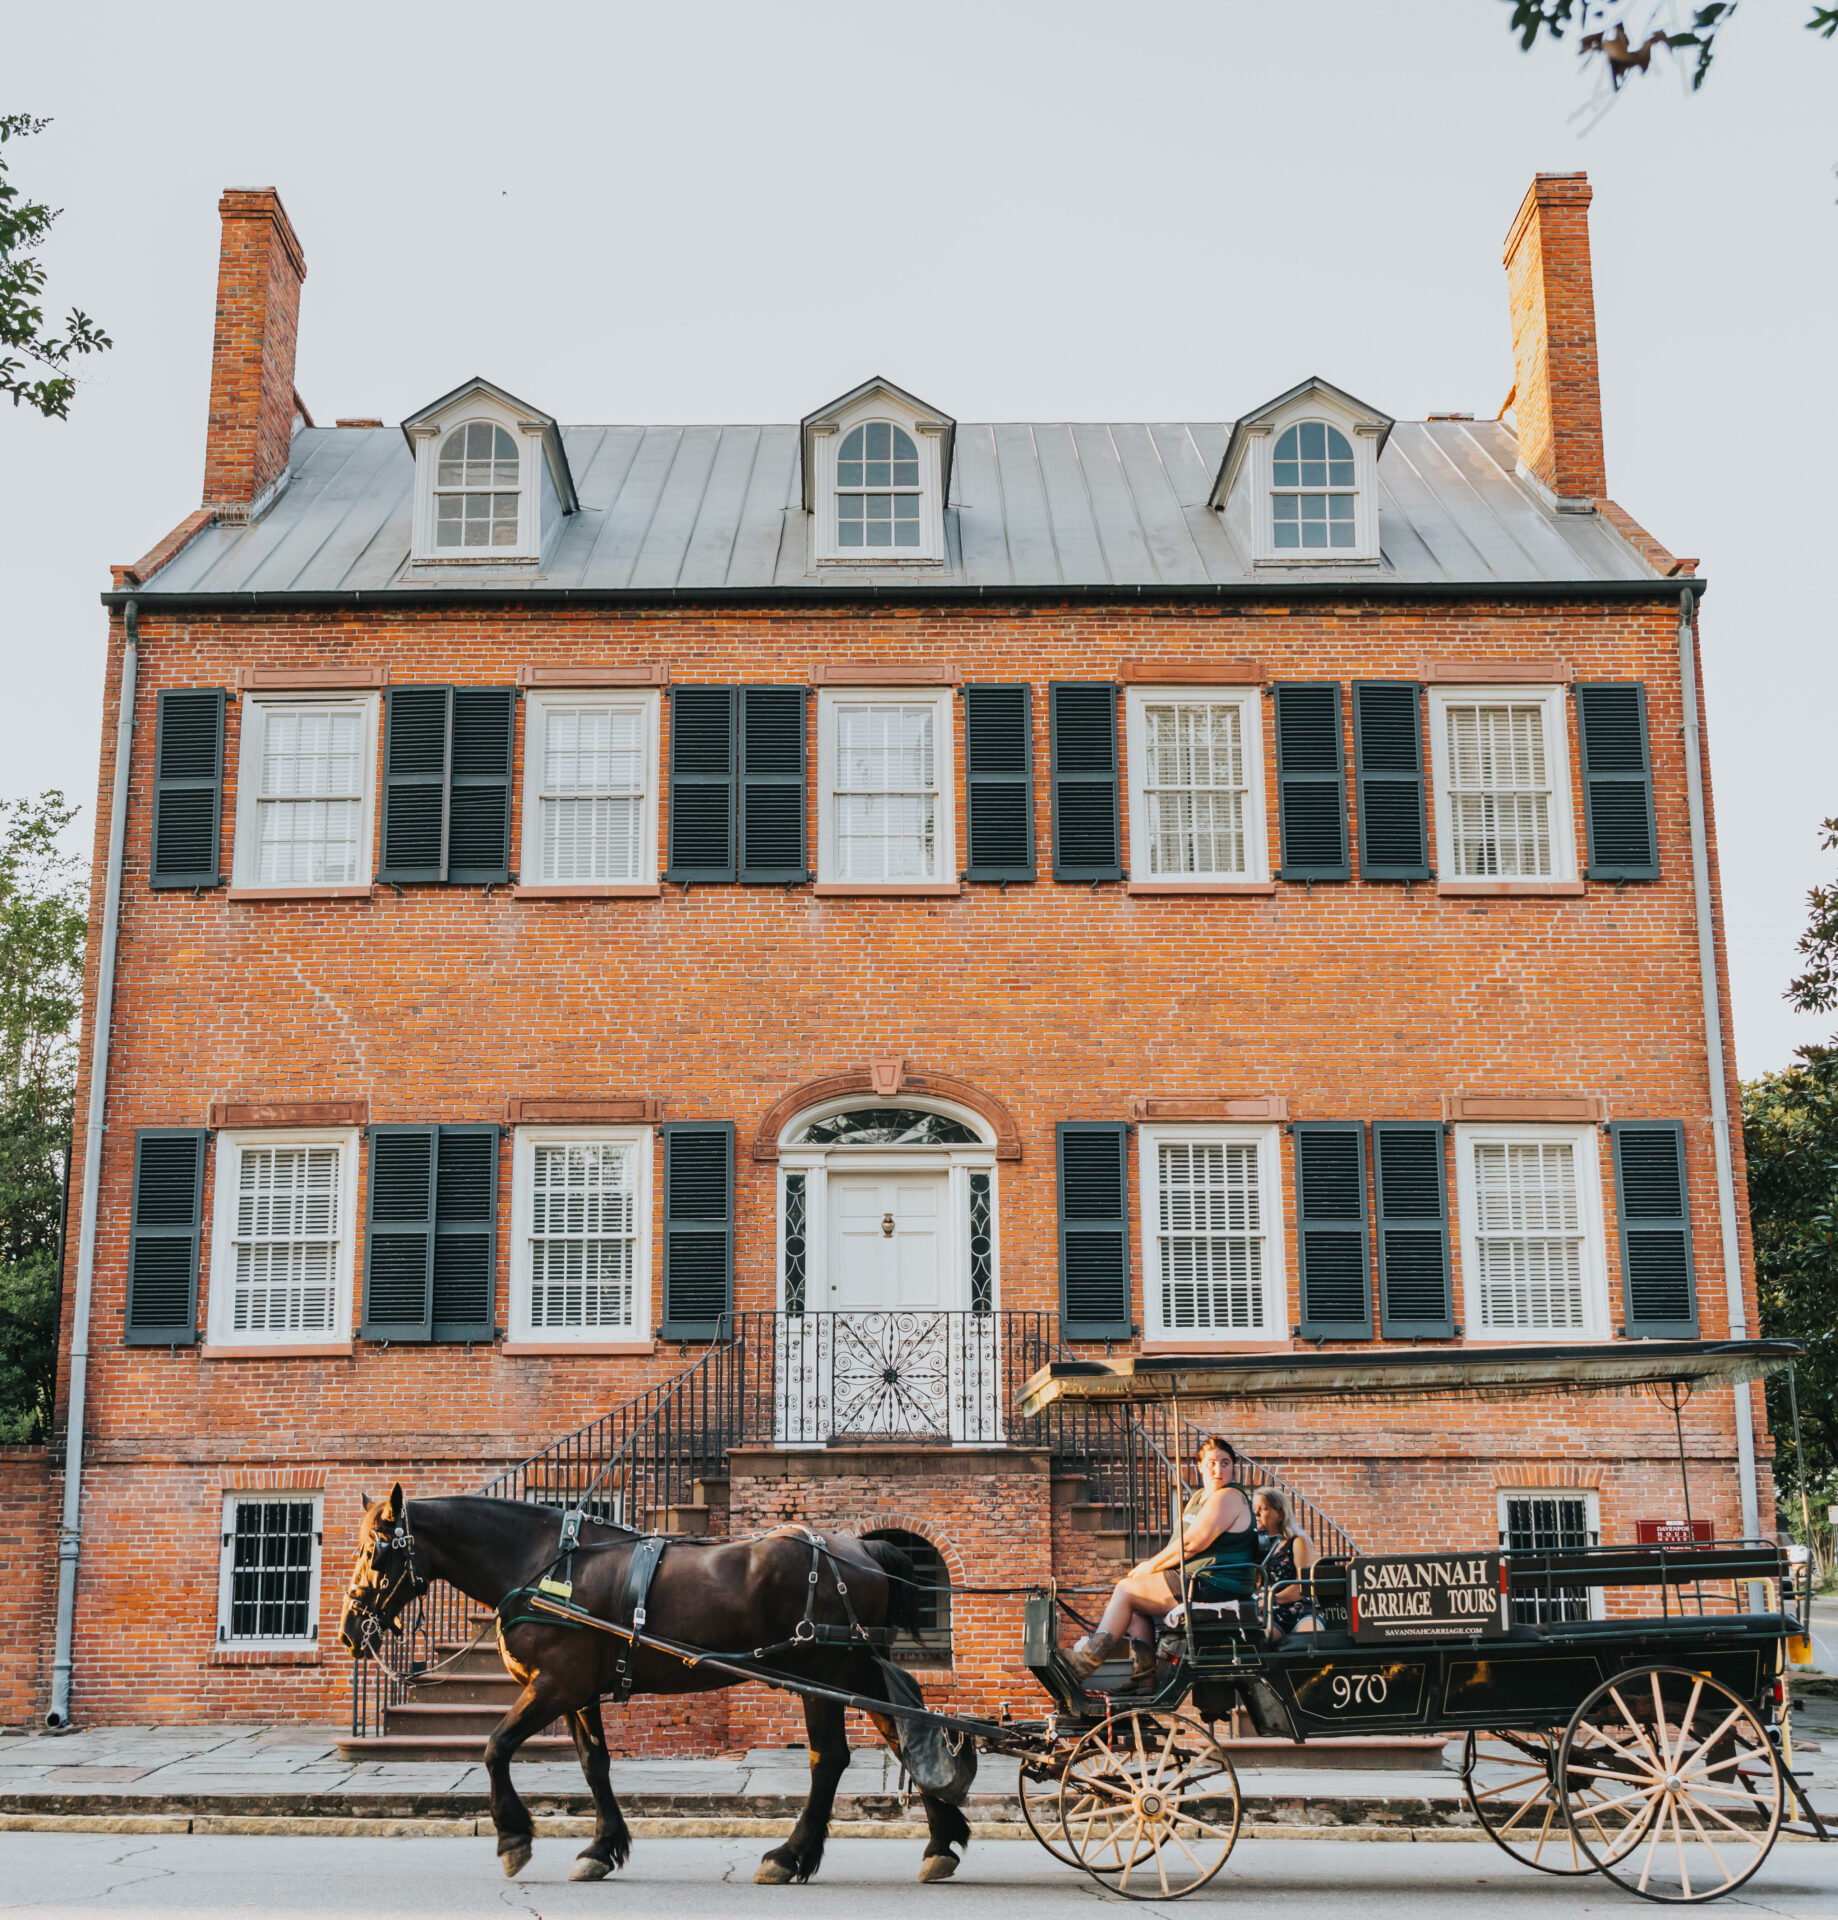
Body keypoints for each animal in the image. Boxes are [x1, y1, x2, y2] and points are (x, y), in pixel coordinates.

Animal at [338, 1489, 967, 1881]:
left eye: (374, 1552)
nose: (349, 1629)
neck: (545, 1567)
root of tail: (863, 1547)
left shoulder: (555, 1683)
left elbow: (496, 1747)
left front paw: (514, 1838)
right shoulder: (579, 1690)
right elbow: (594, 1764)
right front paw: (602, 1847)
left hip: (819, 1674)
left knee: (830, 1757)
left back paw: (790, 1856)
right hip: (856, 1668)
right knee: (904, 1733)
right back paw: (942, 1839)